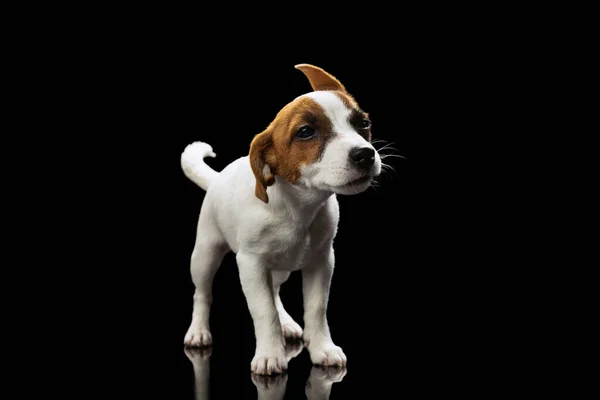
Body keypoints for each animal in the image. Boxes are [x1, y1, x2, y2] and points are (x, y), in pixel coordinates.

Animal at [180, 62, 382, 376]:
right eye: (305, 132)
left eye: (363, 124)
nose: (365, 155)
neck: (298, 208)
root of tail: (217, 178)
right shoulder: (251, 265)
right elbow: (264, 312)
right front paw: (269, 355)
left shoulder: (322, 261)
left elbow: (316, 308)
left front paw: (322, 348)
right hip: (205, 253)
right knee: (202, 293)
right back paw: (198, 331)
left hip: (281, 267)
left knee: (274, 291)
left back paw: (286, 323)